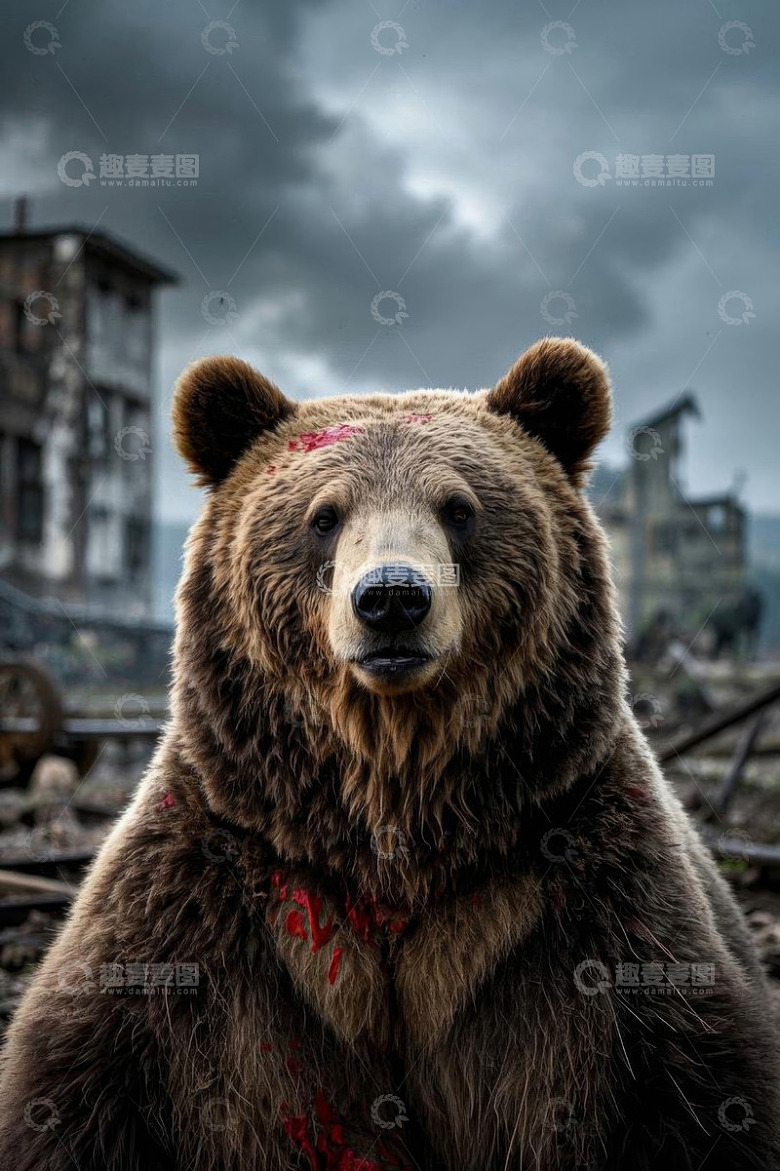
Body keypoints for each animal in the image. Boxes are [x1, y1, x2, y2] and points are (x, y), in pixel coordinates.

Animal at [0, 337, 778, 1170]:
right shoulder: (215, 887)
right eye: (324, 515)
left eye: (459, 507)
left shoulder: (578, 883)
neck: (393, 813)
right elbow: (81, 1074)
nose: (394, 598)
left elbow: (691, 1079)